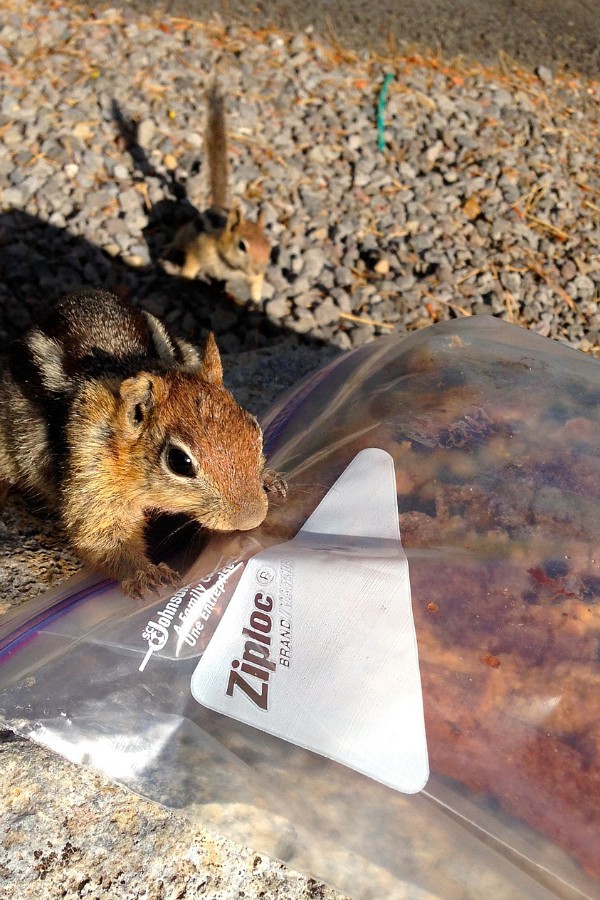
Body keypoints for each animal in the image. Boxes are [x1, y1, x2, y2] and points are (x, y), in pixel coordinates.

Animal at [0, 290, 286, 596]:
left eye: (255, 430)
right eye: (179, 462)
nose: (252, 519)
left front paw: (270, 478)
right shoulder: (92, 476)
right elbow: (101, 535)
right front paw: (146, 574)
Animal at [170, 84, 270, 302]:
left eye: (269, 247)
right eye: (242, 246)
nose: (259, 269)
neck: (230, 267)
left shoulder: (252, 276)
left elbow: (257, 285)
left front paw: (256, 301)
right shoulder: (199, 251)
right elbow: (189, 267)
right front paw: (183, 283)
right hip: (185, 233)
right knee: (177, 238)